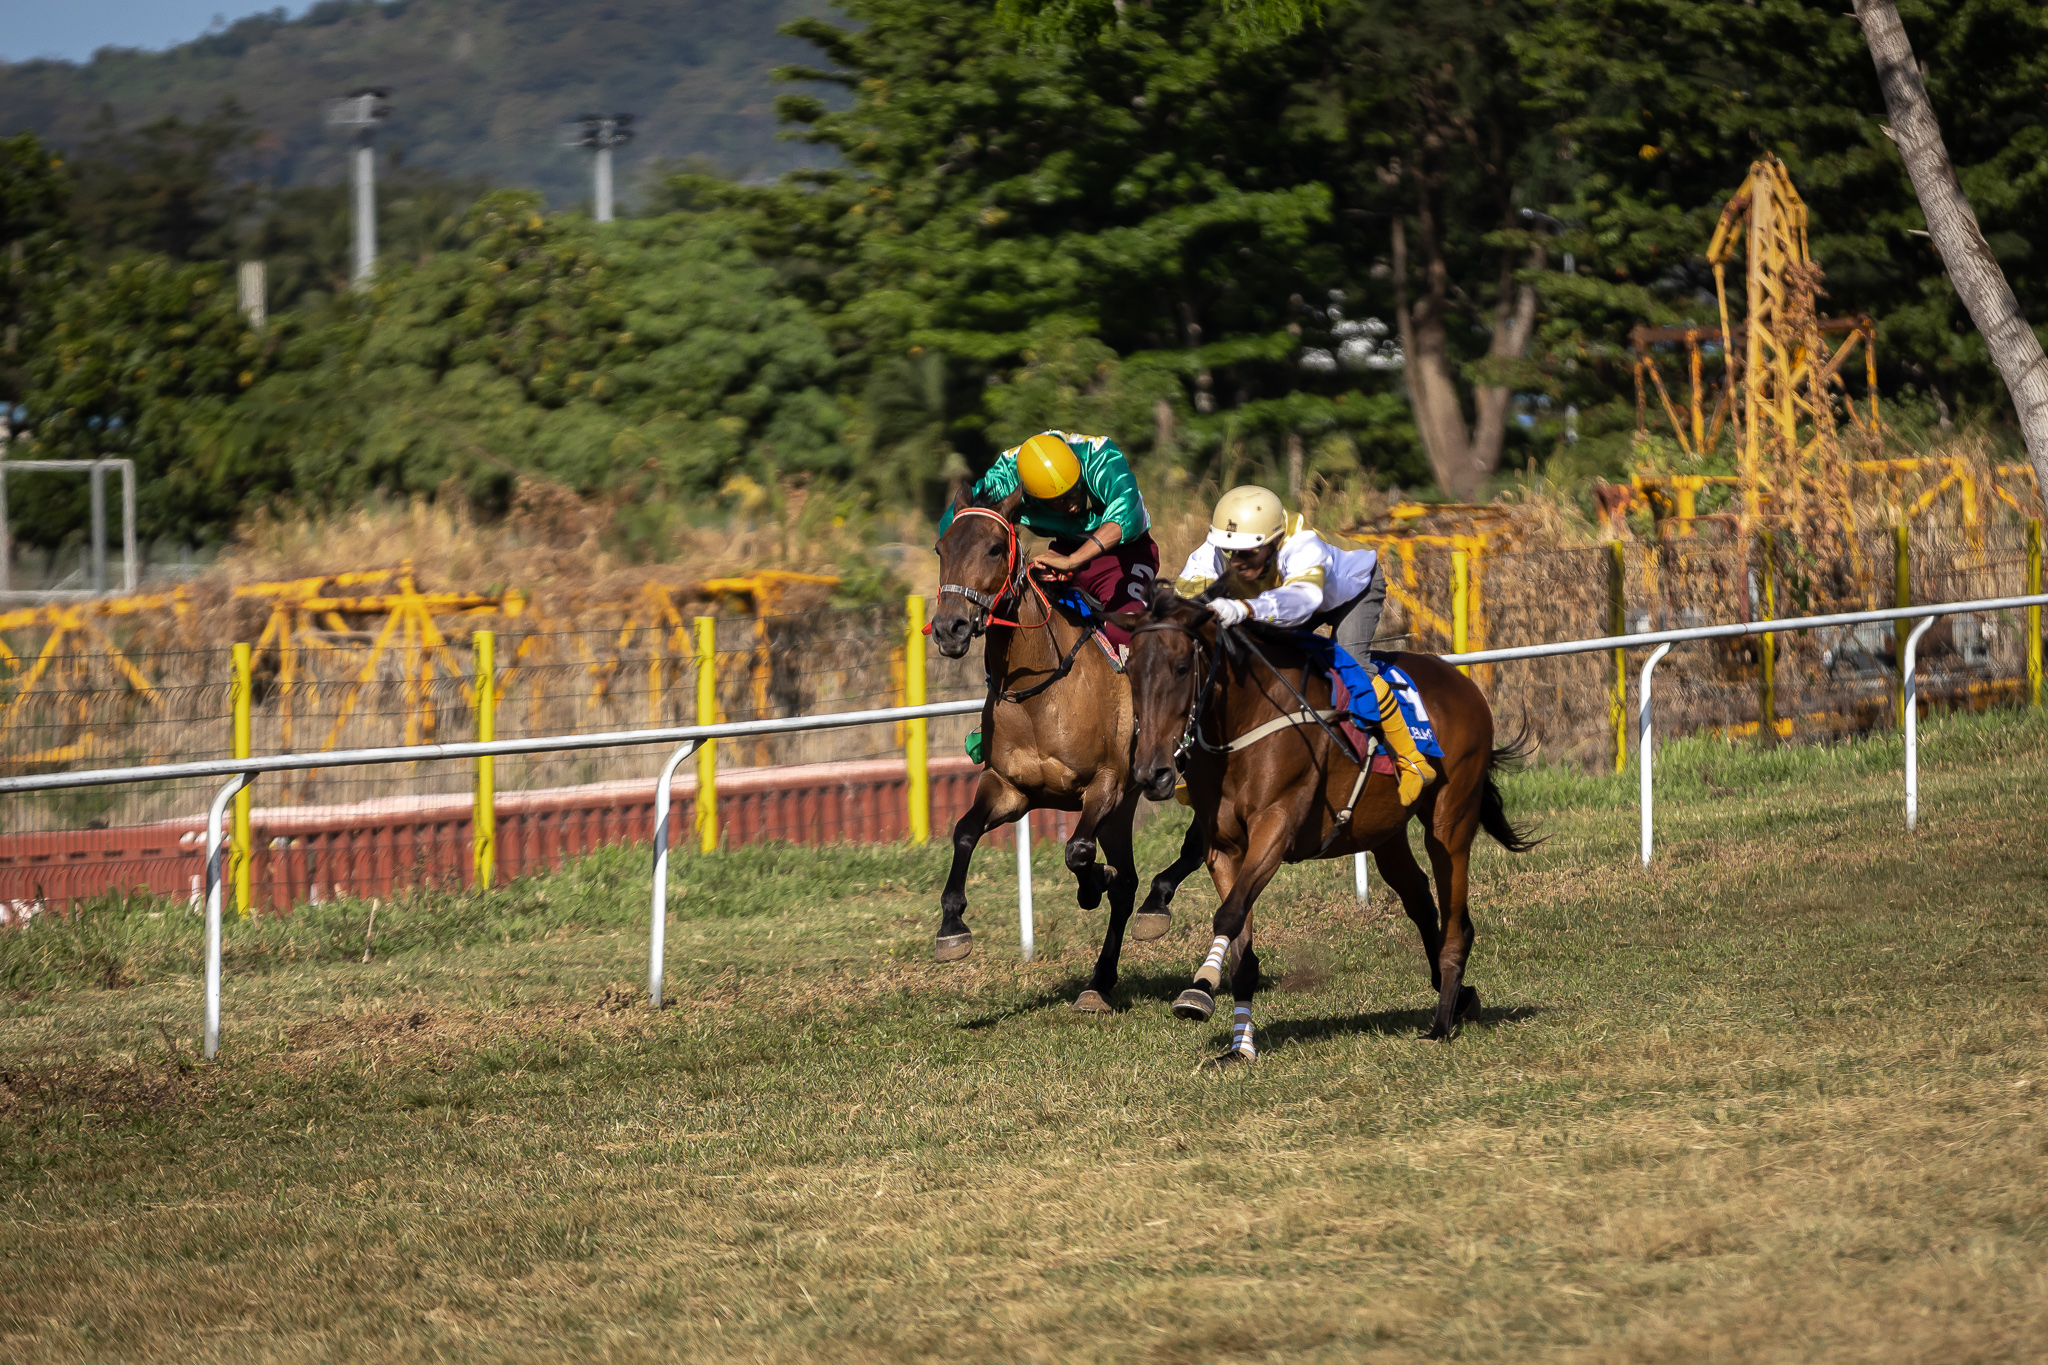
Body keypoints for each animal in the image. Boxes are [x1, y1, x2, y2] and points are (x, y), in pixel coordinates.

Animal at [927, 488, 1207, 1011]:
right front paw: (952, 926)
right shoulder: (1010, 789)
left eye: (994, 548)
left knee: (1193, 845)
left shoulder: (1106, 785)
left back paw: (1155, 903)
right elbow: (964, 832)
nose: (949, 628)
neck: (1040, 691)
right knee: (1131, 882)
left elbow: (1078, 851)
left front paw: (1093, 886)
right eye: (941, 549)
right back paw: (1100, 980)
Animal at [1118, 584, 1537, 1057]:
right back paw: (1462, 998)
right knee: (1419, 899)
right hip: (1385, 832)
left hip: (1451, 819)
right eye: (1130, 672)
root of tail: (1463, 683)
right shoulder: (1224, 848)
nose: (1151, 773)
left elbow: (1227, 915)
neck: (1245, 722)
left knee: (1456, 922)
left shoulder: (1276, 826)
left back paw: (1442, 1022)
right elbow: (1240, 936)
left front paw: (1199, 990)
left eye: (1181, 667)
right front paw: (1240, 1048)